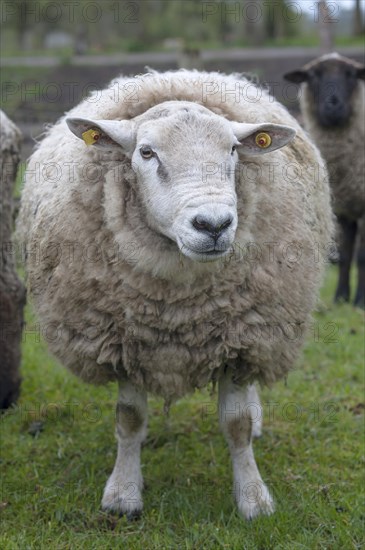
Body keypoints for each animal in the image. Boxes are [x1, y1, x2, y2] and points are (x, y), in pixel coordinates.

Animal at [17, 72, 332, 520]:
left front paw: (253, 498)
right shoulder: (124, 341)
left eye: (233, 150)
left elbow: (235, 425)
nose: (213, 224)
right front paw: (123, 494)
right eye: (146, 152)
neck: (177, 306)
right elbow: (130, 420)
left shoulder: (242, 338)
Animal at [284, 54, 364, 310]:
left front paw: (360, 302)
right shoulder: (344, 209)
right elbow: (346, 255)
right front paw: (341, 298)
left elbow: (361, 257)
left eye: (351, 74)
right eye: (313, 76)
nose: (333, 105)